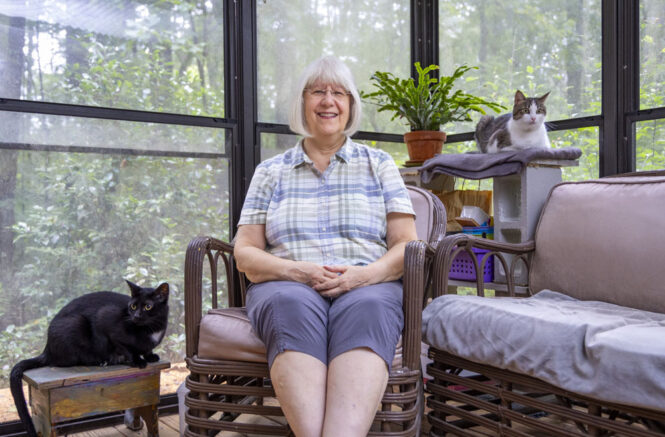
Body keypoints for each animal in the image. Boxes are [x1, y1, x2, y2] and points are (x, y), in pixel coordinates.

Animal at [9, 280, 169, 436]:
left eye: (148, 306)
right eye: (133, 306)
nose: (136, 316)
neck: (151, 329)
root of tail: (47, 348)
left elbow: (147, 349)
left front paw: (150, 356)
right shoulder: (106, 320)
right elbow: (125, 347)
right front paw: (137, 360)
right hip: (76, 324)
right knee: (66, 361)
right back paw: (105, 361)